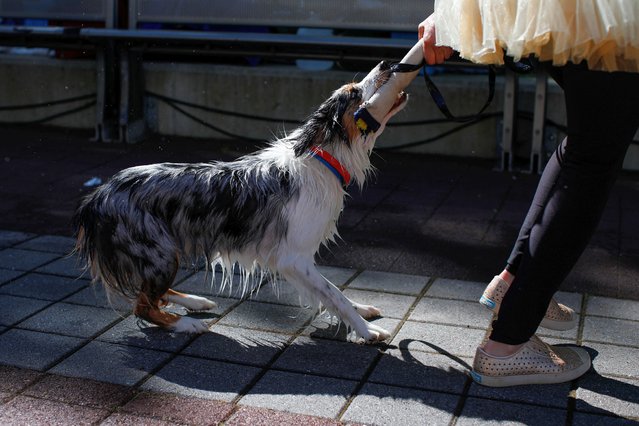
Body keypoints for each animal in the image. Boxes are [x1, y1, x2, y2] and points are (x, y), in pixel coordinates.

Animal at [72, 61, 408, 344]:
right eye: (353, 92)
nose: (386, 64)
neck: (322, 158)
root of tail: (99, 194)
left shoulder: (297, 260)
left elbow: (336, 295)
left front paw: (360, 310)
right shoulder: (293, 258)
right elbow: (334, 293)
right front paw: (366, 330)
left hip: (163, 254)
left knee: (155, 296)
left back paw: (195, 301)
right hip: (160, 253)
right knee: (142, 306)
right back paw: (186, 323)